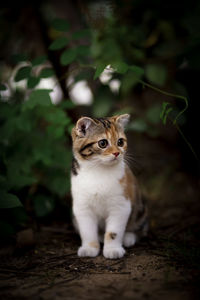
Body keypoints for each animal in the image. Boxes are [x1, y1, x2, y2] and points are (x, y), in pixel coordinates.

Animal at [71, 113, 148, 258]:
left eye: (120, 142)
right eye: (103, 143)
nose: (117, 153)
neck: (99, 170)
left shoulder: (121, 205)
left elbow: (114, 231)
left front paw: (113, 249)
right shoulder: (82, 206)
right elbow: (87, 230)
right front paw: (89, 247)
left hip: (140, 207)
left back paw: (129, 237)